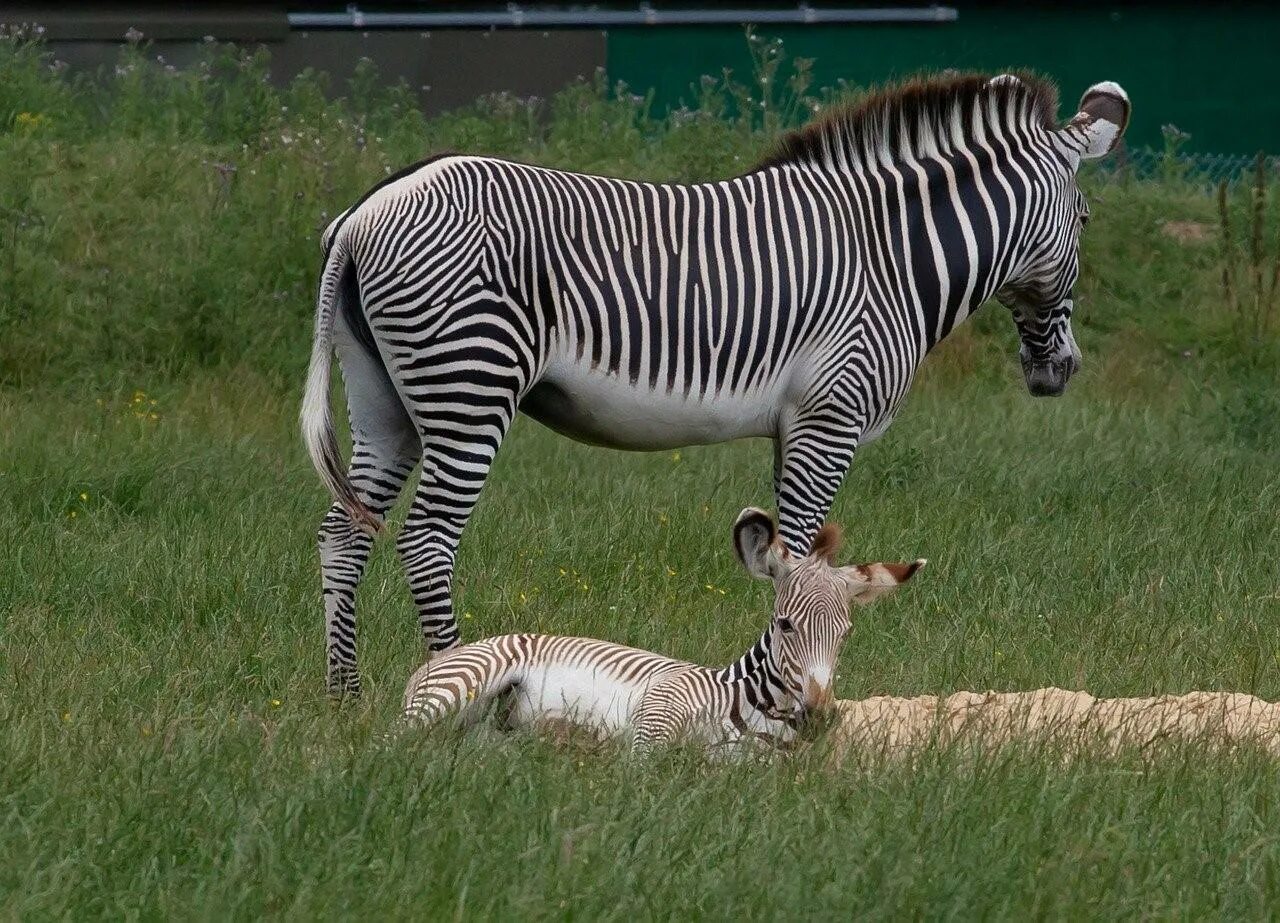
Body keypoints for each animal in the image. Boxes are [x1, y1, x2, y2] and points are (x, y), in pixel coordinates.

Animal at [302, 72, 1131, 696]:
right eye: (1087, 219)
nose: (1062, 372)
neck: (891, 256)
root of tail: (363, 214)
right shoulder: (829, 416)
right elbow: (797, 553)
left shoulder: (795, 425)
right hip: (469, 384)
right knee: (426, 539)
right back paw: (453, 676)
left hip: (386, 402)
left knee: (345, 531)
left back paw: (345, 698)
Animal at [399, 506, 921, 752]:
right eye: (786, 625)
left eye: (846, 633)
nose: (819, 717)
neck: (749, 708)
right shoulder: (658, 711)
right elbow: (643, 769)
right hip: (462, 686)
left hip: (482, 728)